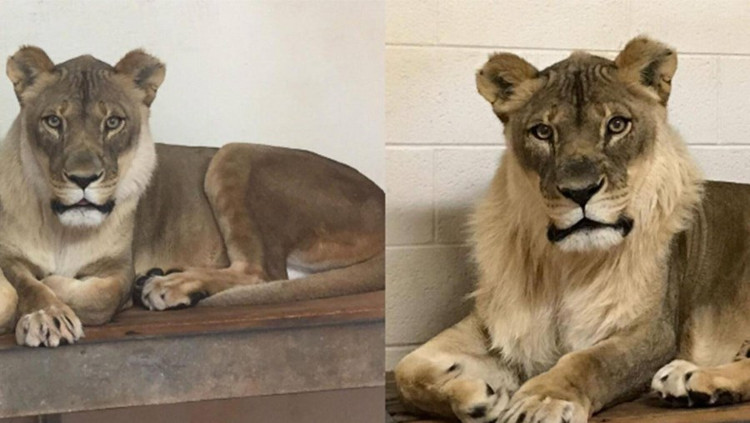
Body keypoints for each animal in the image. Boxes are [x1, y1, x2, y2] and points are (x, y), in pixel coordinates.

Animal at [0, 46, 384, 348]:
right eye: (53, 121)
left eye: (113, 122)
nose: (83, 179)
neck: (62, 230)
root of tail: (379, 193)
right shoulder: (8, 254)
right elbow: (24, 283)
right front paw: (46, 313)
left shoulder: (119, 267)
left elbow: (98, 296)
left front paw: (53, 292)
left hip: (233, 154)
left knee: (264, 272)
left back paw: (168, 285)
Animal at [394, 36, 750, 423]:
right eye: (542, 131)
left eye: (617, 125)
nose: (580, 192)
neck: (563, 266)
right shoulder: (496, 325)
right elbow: (406, 369)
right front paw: (477, 396)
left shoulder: (653, 332)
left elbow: (589, 362)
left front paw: (541, 401)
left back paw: (689, 378)